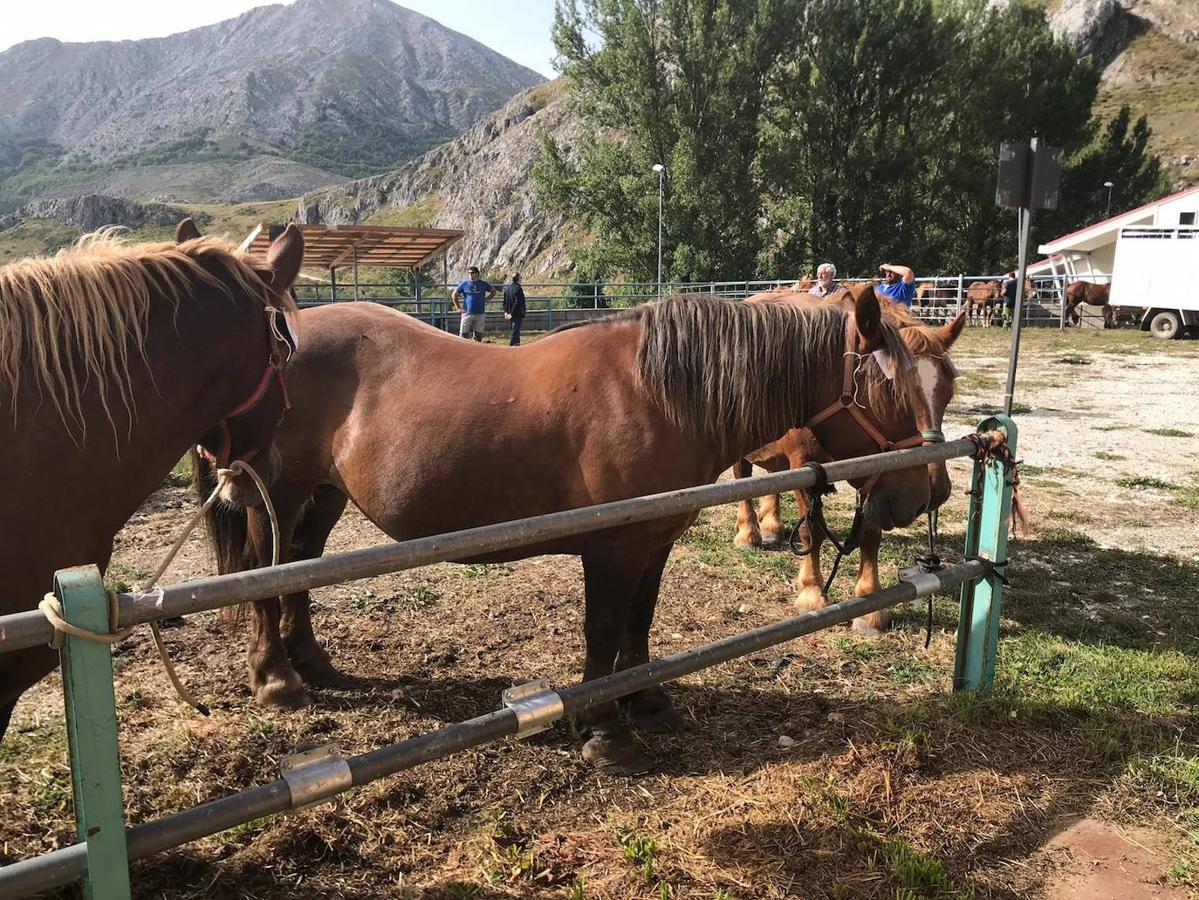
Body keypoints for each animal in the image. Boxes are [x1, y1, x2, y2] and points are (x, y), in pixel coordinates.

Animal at [201, 290, 940, 776]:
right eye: (891, 391)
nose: (924, 494)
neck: (657, 393)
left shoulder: (654, 540)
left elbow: (639, 624)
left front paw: (647, 702)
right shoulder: (612, 548)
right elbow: (604, 631)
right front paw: (606, 731)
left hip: (326, 496)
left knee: (300, 568)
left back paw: (312, 661)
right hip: (276, 497)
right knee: (265, 573)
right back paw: (276, 679)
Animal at [728, 286, 963, 632]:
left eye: (946, 394)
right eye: (891, 393)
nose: (936, 490)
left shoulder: (874, 477)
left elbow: (870, 535)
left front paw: (870, 605)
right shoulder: (805, 467)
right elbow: (811, 531)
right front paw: (811, 592)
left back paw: (771, 523)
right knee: (742, 479)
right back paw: (750, 532)